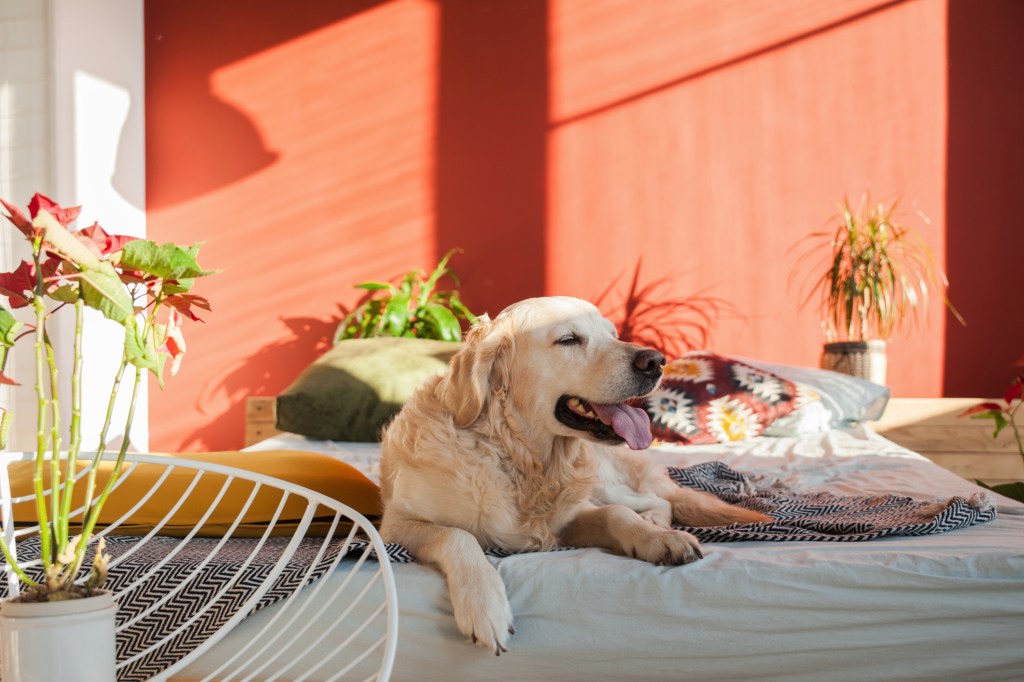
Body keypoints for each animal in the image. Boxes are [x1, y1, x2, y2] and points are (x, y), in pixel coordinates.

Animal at [380, 296, 770, 655]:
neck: (519, 458)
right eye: (568, 339)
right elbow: (457, 535)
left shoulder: (569, 517)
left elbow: (616, 515)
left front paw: (658, 539)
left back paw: (658, 524)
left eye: (613, 334)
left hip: (603, 481)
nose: (656, 361)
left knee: (655, 500)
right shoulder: (395, 525)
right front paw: (485, 605)